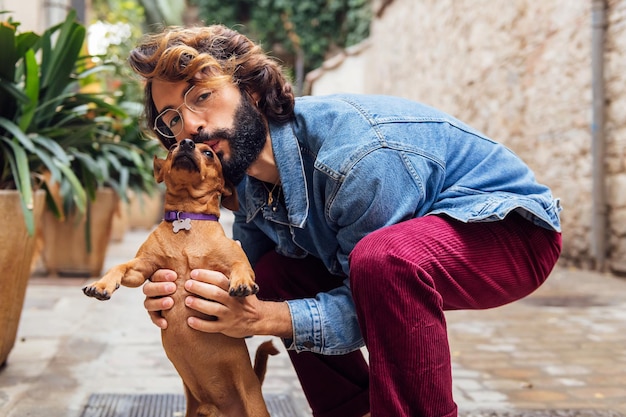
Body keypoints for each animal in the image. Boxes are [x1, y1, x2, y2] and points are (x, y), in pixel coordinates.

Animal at [82, 138, 276, 414]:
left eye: (209, 153)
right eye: (172, 149)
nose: (186, 142)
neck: (187, 219)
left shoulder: (235, 261)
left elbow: (240, 266)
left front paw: (241, 284)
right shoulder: (141, 269)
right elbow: (119, 267)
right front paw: (101, 285)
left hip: (254, 405)